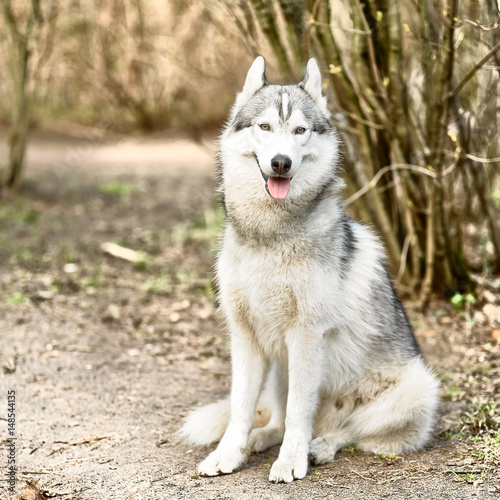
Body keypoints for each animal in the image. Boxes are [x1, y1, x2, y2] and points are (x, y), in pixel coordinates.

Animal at [180, 56, 438, 482]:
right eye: (265, 127)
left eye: (300, 131)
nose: (280, 162)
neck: (271, 236)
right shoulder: (245, 337)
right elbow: (240, 409)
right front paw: (228, 454)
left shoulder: (306, 336)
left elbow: (299, 414)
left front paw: (290, 462)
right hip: (278, 372)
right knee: (278, 419)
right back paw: (260, 438)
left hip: (418, 388)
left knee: (349, 431)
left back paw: (320, 446)